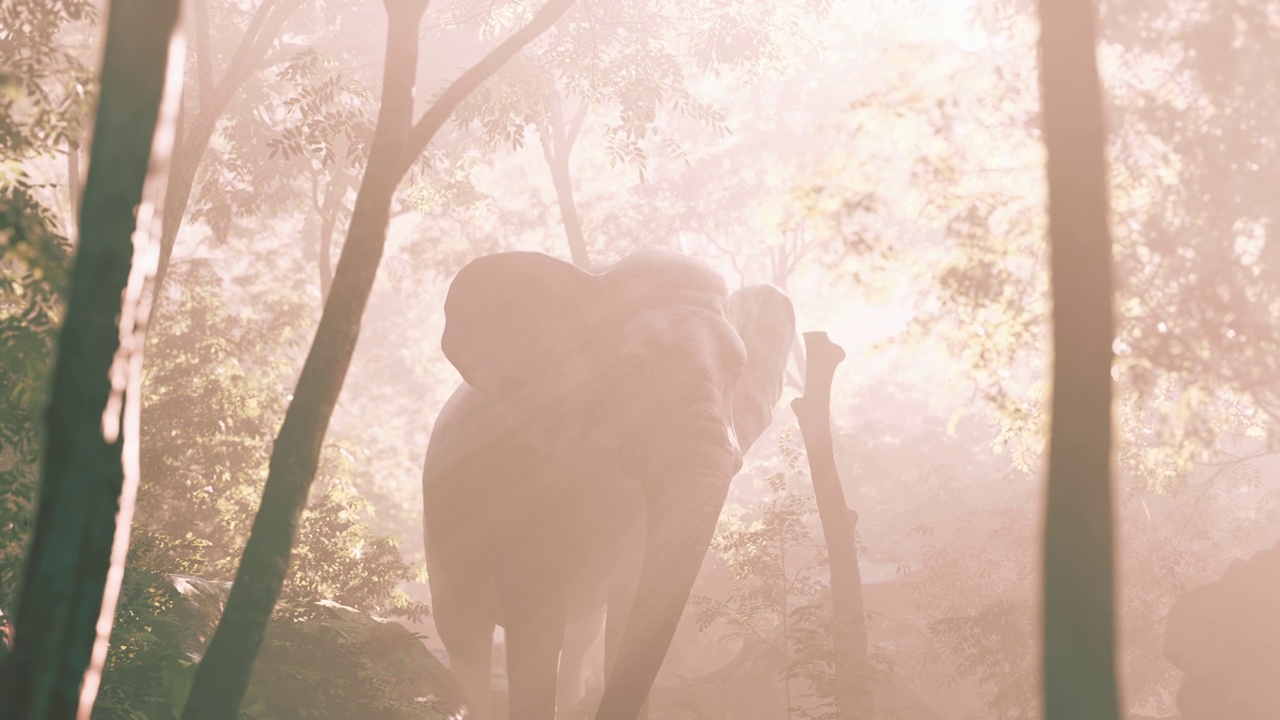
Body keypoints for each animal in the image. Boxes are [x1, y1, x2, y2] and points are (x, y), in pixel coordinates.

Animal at [419, 249, 793, 717]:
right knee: (466, 639)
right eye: (633, 369)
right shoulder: (514, 472)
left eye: (738, 372)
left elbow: (630, 599)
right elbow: (535, 618)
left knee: (577, 638)